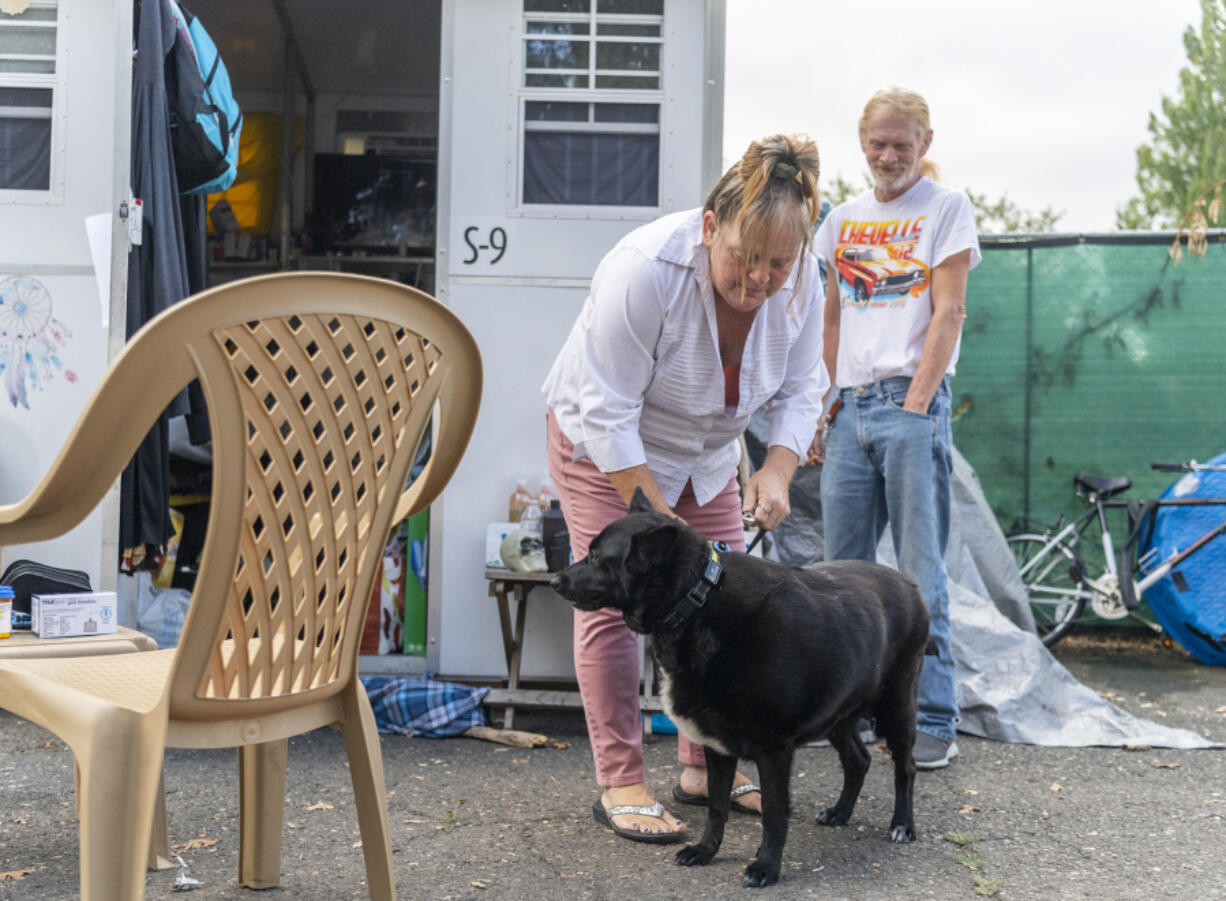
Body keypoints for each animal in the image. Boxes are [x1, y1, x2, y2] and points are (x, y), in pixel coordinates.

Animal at [556, 485, 926, 887]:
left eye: (595, 556)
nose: (555, 580)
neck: (696, 600)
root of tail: (908, 583)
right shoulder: (715, 746)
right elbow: (717, 805)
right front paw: (705, 852)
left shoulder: (774, 749)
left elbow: (774, 812)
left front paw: (766, 866)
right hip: (839, 715)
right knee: (858, 761)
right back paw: (840, 813)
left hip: (897, 709)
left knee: (905, 768)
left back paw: (903, 825)